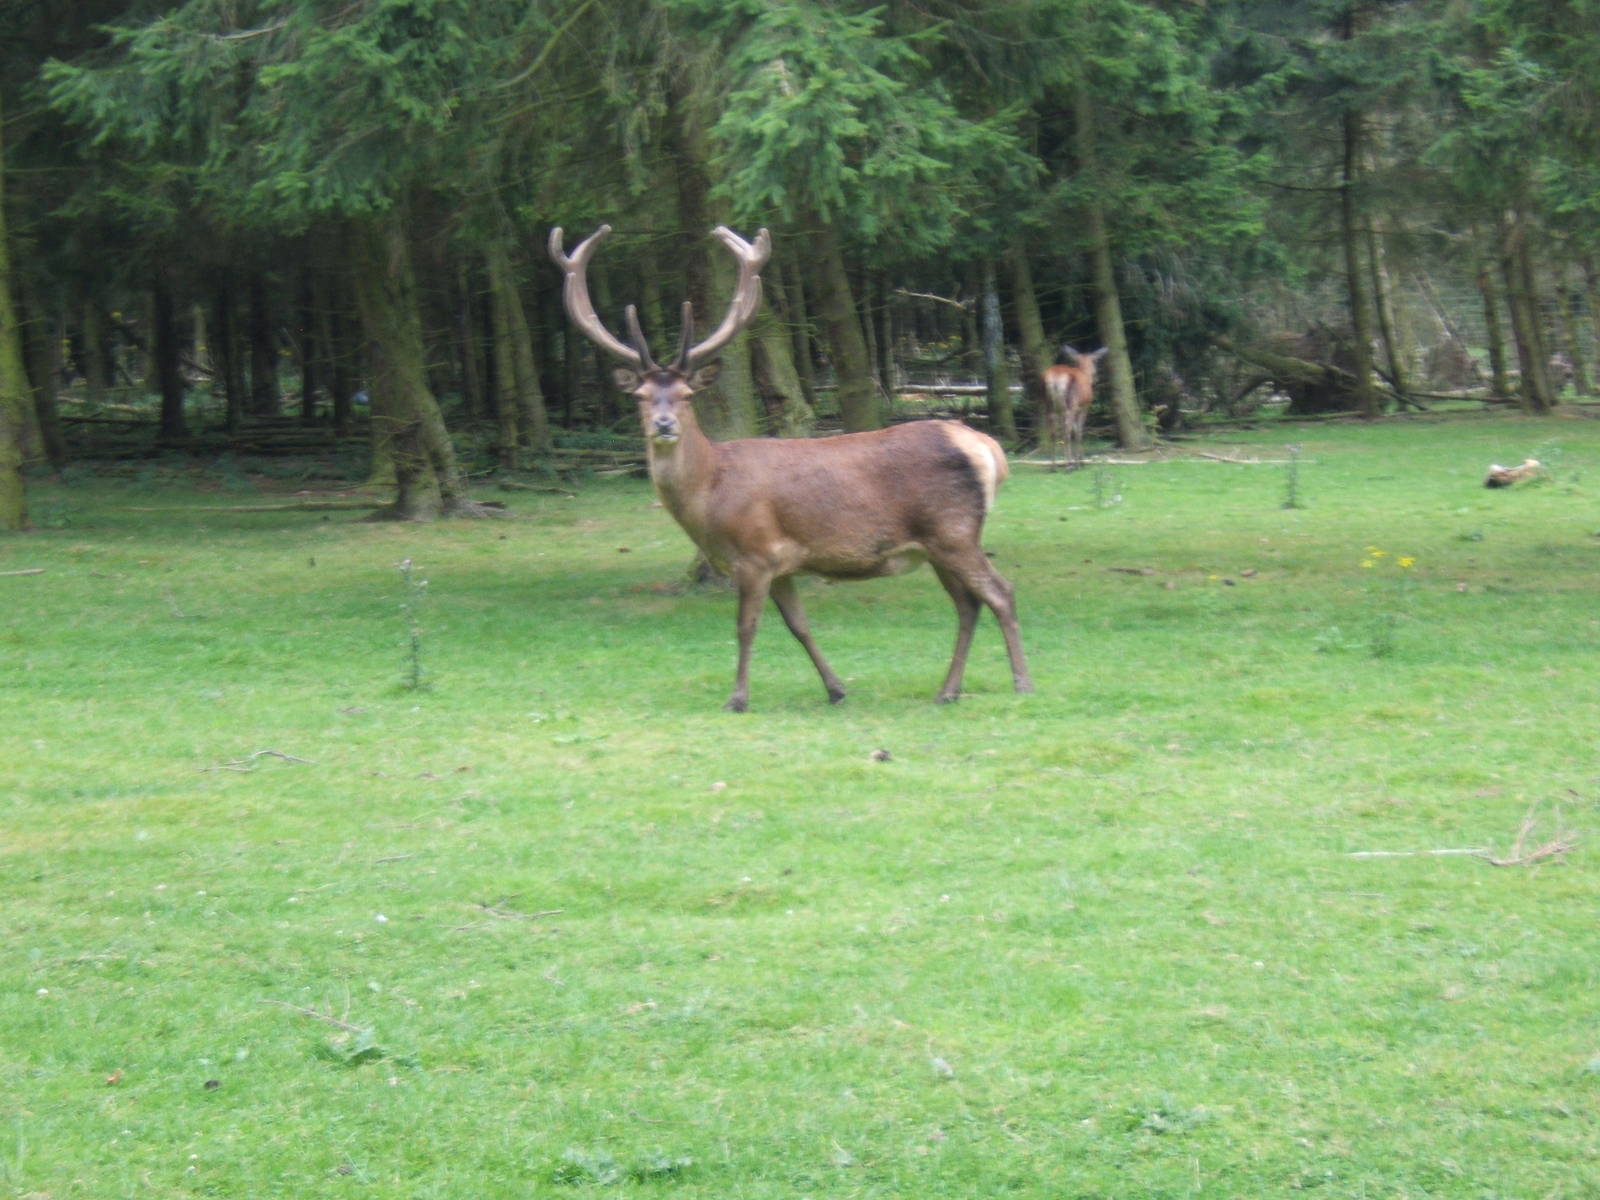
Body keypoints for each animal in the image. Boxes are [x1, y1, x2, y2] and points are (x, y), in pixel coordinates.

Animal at [548, 223, 1034, 712]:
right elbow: (799, 625)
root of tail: (988, 447)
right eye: (641, 396)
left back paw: (1021, 683)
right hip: (936, 544)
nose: (664, 425)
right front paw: (836, 689)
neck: (710, 493)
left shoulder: (755, 554)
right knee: (968, 604)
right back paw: (947, 690)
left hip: (954, 530)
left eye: (686, 395)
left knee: (1001, 592)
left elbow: (746, 626)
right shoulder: (782, 565)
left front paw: (737, 698)